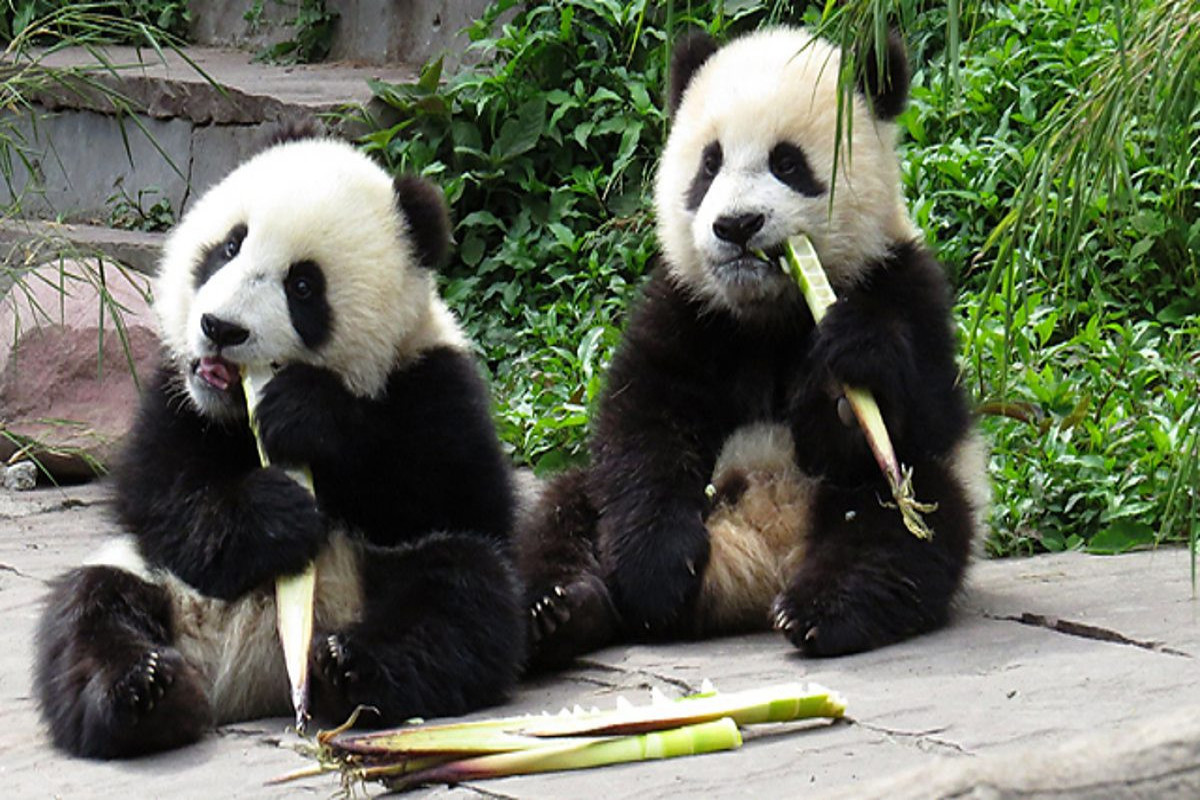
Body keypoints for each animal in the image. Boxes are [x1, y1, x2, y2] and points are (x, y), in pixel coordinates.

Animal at [35, 136, 523, 758]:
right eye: (229, 246)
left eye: (303, 286)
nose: (220, 328)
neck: (237, 409)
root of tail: (250, 678)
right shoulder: (174, 394)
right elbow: (159, 490)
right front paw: (277, 514)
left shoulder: (433, 378)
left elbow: (460, 495)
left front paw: (304, 414)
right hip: (159, 580)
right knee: (89, 610)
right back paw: (144, 693)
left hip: (368, 583)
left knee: (461, 593)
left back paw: (348, 669)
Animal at [520, 26, 988, 671]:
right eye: (709, 163)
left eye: (787, 163)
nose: (737, 225)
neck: (771, 310)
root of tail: (755, 564)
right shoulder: (687, 306)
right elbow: (644, 424)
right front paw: (655, 574)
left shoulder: (903, 281)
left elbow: (925, 418)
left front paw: (849, 373)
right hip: (601, 501)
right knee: (564, 508)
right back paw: (562, 610)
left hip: (908, 502)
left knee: (900, 527)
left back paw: (818, 610)